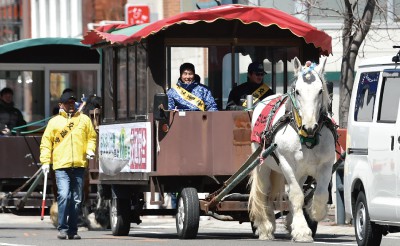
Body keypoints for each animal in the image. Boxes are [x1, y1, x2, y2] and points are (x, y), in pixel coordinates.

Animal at [248, 57, 336, 242]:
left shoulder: (326, 164)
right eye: (297, 91)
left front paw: (314, 213)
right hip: (263, 165)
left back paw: (289, 222)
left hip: (300, 172)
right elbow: (296, 196)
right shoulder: (286, 163)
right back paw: (265, 227)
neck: (307, 137)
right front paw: (302, 231)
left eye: (320, 91)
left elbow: (320, 194)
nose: (310, 126)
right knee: (263, 192)